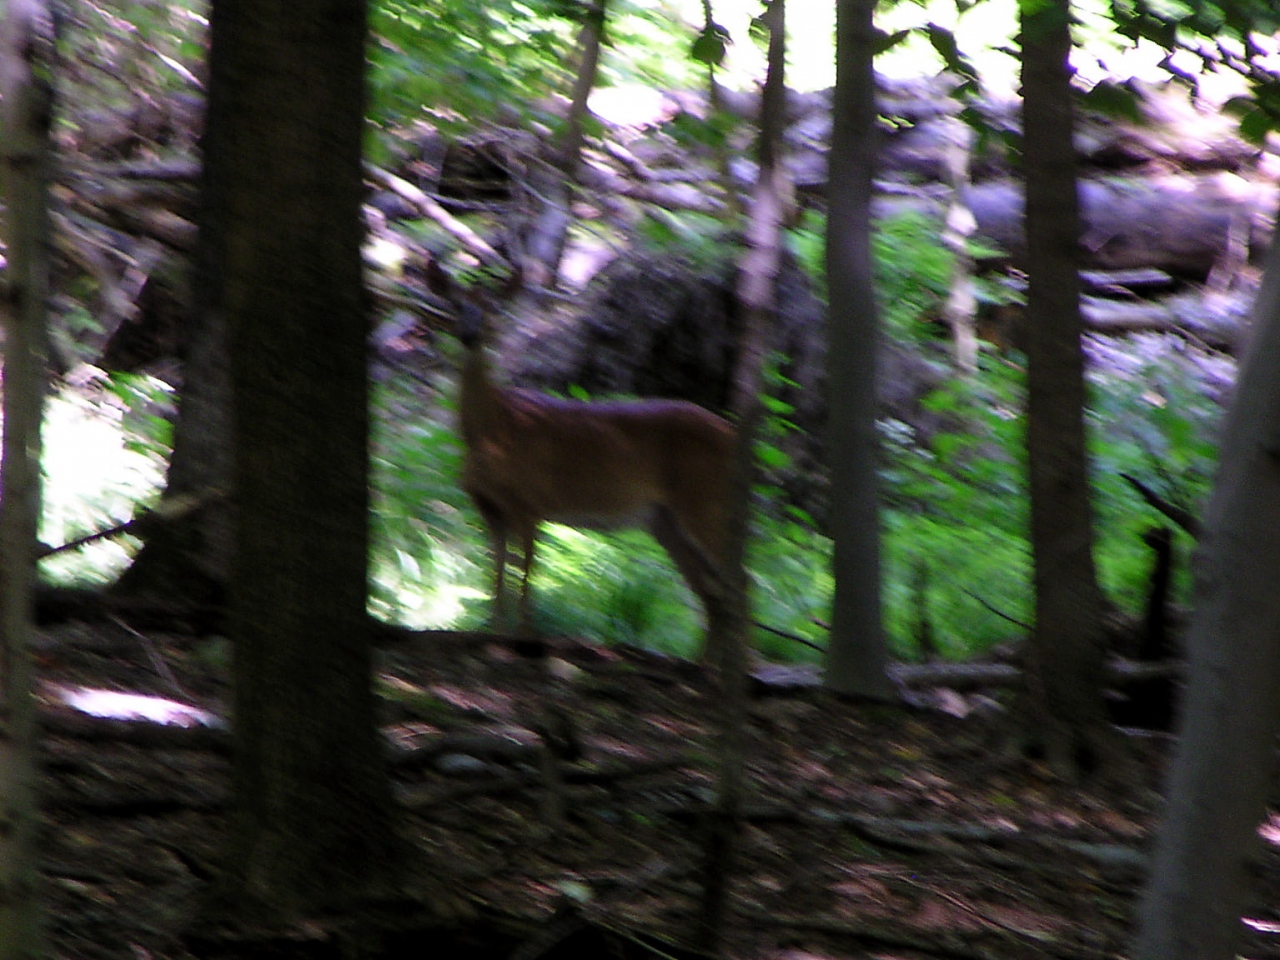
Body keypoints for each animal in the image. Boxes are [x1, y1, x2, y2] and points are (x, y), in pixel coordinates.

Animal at [427, 261, 737, 647]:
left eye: (493, 307)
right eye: (456, 304)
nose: (470, 335)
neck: (493, 431)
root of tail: (732, 433)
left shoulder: (530, 500)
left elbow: (525, 570)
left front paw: (526, 637)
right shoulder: (489, 507)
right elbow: (496, 573)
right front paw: (493, 632)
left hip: (706, 501)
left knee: (736, 583)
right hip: (664, 520)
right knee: (711, 593)